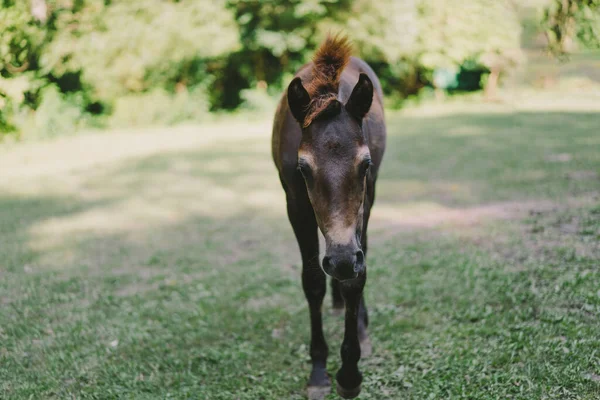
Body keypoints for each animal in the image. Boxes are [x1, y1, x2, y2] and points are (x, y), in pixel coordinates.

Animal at [270, 35, 386, 400]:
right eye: (303, 168)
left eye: (364, 164)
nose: (343, 261)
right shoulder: (296, 205)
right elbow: (312, 281)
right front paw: (319, 369)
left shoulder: (364, 200)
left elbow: (356, 280)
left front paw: (349, 374)